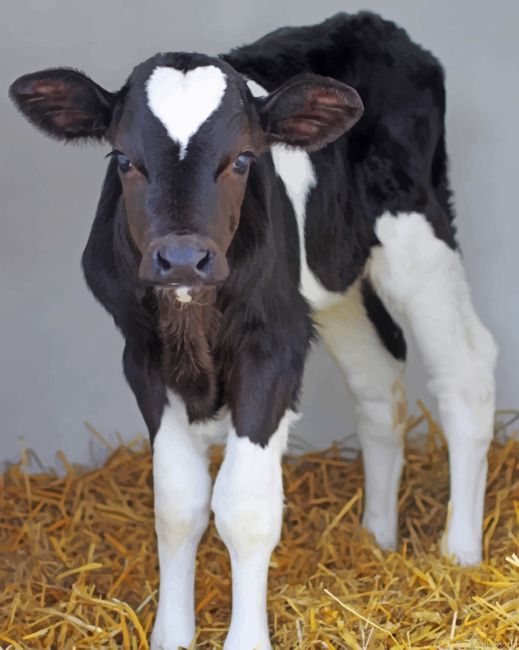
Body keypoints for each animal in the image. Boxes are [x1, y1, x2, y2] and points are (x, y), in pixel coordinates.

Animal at [9, 11, 497, 650]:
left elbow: (244, 507)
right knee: (377, 379)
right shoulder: (141, 354)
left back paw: (459, 553)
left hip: (417, 232)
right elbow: (177, 504)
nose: (182, 258)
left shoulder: (275, 343)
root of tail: (370, 20)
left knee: (466, 370)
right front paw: (171, 635)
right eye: (123, 158)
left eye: (242, 159)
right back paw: (375, 539)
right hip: (330, 280)